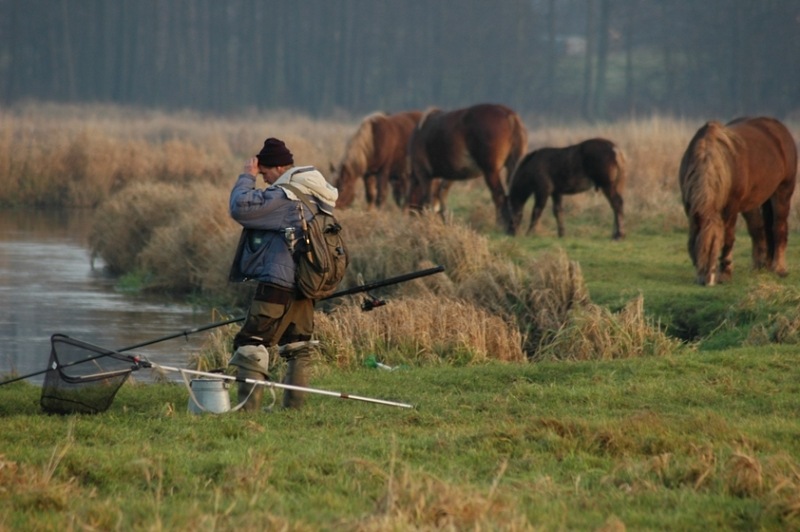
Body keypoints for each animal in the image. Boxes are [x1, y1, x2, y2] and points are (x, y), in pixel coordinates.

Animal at [680, 115, 796, 286]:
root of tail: (778, 128)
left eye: (715, 244)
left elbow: (728, 238)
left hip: (783, 192)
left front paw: (725, 274)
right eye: (700, 247)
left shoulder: (731, 208)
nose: (707, 281)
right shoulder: (690, 207)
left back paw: (779, 268)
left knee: (779, 228)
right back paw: (759, 266)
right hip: (752, 202)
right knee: (758, 230)